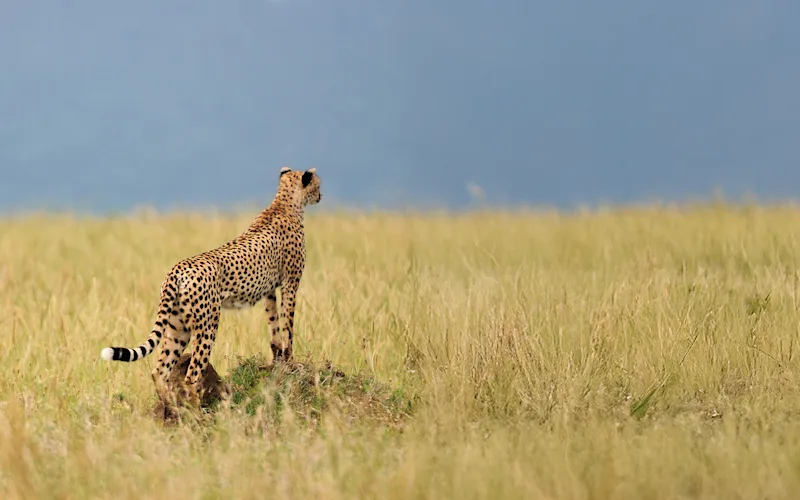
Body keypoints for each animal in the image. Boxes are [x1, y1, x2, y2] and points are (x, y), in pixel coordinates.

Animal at [100, 166, 322, 405]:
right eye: (318, 184)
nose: (321, 196)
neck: (284, 203)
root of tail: (177, 268)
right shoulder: (290, 282)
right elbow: (288, 324)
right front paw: (291, 361)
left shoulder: (270, 290)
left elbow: (274, 325)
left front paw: (278, 359)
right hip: (207, 324)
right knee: (191, 374)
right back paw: (195, 409)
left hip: (177, 326)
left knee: (159, 370)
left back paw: (172, 406)